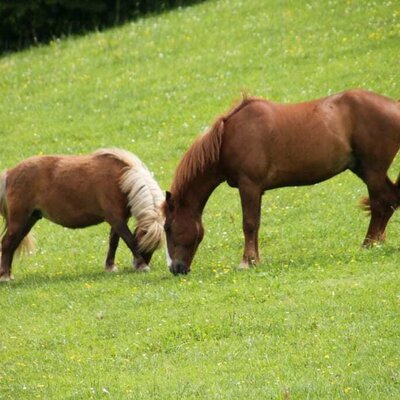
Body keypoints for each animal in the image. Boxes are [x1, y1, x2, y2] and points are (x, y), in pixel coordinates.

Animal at [0, 148, 164, 282]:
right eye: (146, 243)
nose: (138, 264)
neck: (121, 179)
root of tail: (10, 173)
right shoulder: (116, 219)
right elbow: (129, 240)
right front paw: (142, 266)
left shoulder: (119, 220)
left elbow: (114, 243)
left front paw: (110, 267)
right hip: (19, 219)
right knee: (7, 243)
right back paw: (5, 277)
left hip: (29, 220)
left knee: (13, 244)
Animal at [162, 88, 400, 276]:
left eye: (167, 227)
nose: (176, 268)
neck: (228, 139)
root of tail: (394, 106)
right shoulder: (256, 190)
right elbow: (255, 224)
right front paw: (255, 260)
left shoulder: (249, 186)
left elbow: (249, 224)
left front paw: (246, 262)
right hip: (364, 169)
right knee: (388, 200)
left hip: (373, 170)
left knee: (381, 202)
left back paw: (369, 244)